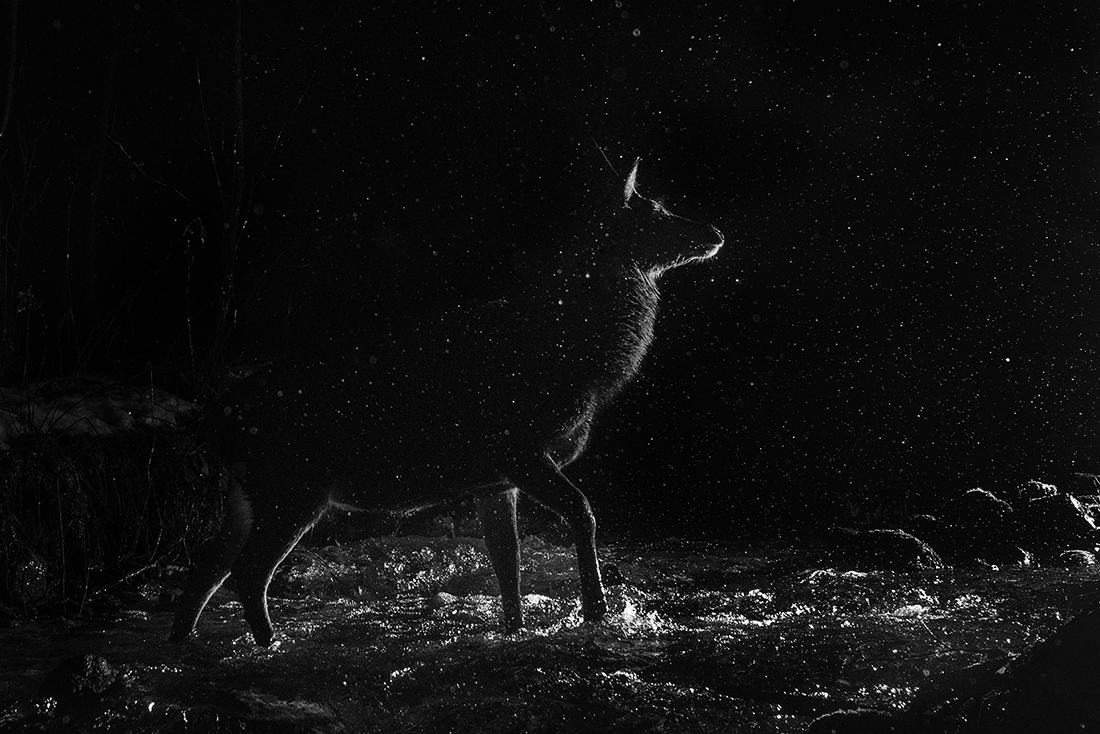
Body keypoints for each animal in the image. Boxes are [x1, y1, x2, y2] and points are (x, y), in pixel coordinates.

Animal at [169, 158, 723, 645]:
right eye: (658, 210)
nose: (716, 233)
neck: (582, 363)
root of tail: (214, 417)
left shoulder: (496, 479)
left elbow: (507, 564)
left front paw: (516, 630)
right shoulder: (518, 447)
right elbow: (582, 514)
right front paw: (595, 611)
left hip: (249, 491)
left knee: (204, 569)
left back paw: (185, 643)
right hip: (292, 483)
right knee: (245, 572)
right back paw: (271, 643)